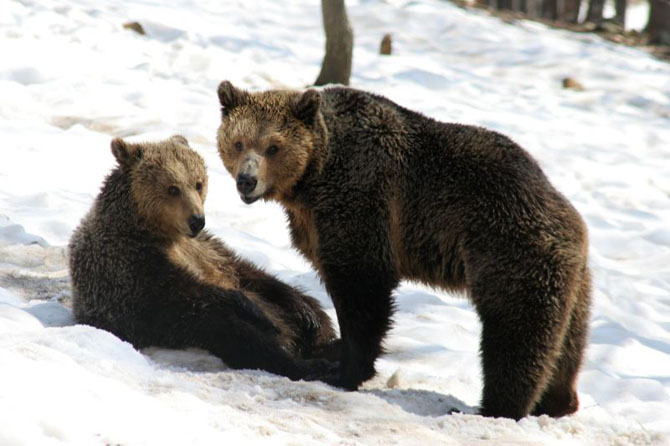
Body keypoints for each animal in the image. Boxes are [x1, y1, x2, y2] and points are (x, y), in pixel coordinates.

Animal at [69, 134, 342, 378]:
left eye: (198, 183)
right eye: (172, 188)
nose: (197, 220)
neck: (159, 231)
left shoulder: (208, 249)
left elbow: (249, 273)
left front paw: (304, 313)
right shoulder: (129, 265)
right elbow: (187, 292)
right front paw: (252, 308)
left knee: (316, 311)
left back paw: (326, 340)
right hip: (190, 324)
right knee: (236, 334)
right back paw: (310, 363)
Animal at [215, 82, 592, 420]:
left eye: (273, 146)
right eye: (238, 142)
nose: (247, 181)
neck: (311, 179)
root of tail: (572, 220)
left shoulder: (360, 199)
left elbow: (362, 287)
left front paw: (345, 370)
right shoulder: (312, 220)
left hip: (509, 248)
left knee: (515, 332)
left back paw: (493, 408)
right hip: (572, 280)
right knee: (569, 339)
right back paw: (557, 401)